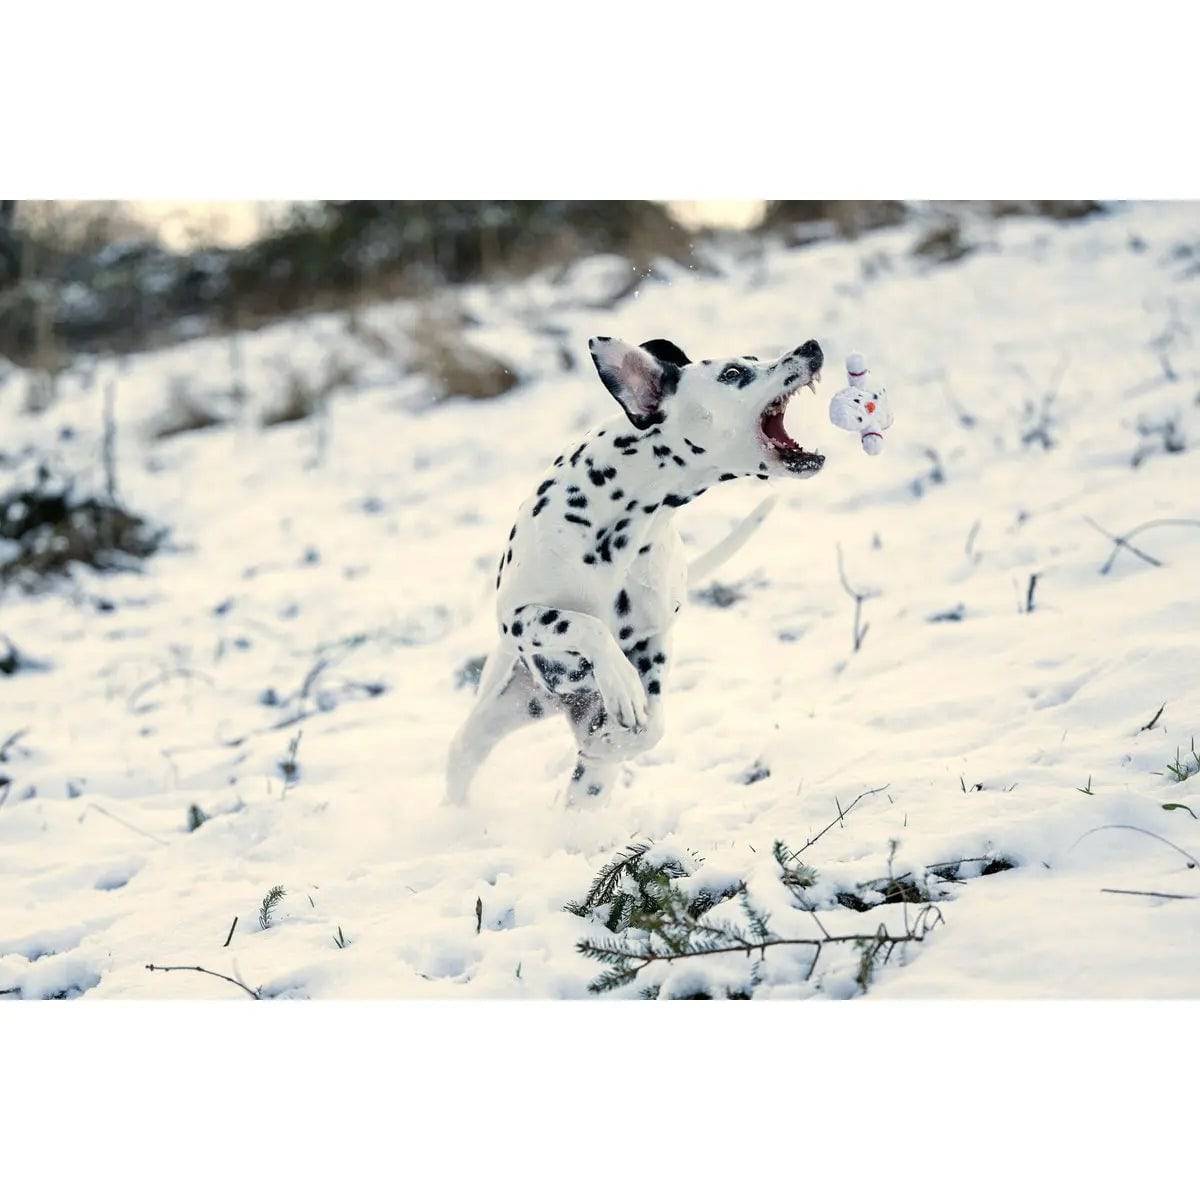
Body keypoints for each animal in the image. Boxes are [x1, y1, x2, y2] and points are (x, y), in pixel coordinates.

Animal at [446, 333, 830, 811]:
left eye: (754, 359)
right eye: (733, 373)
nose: (811, 346)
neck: (625, 521)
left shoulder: (653, 640)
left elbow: (651, 727)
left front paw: (615, 734)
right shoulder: (520, 617)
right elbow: (585, 623)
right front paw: (619, 682)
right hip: (493, 714)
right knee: (462, 758)